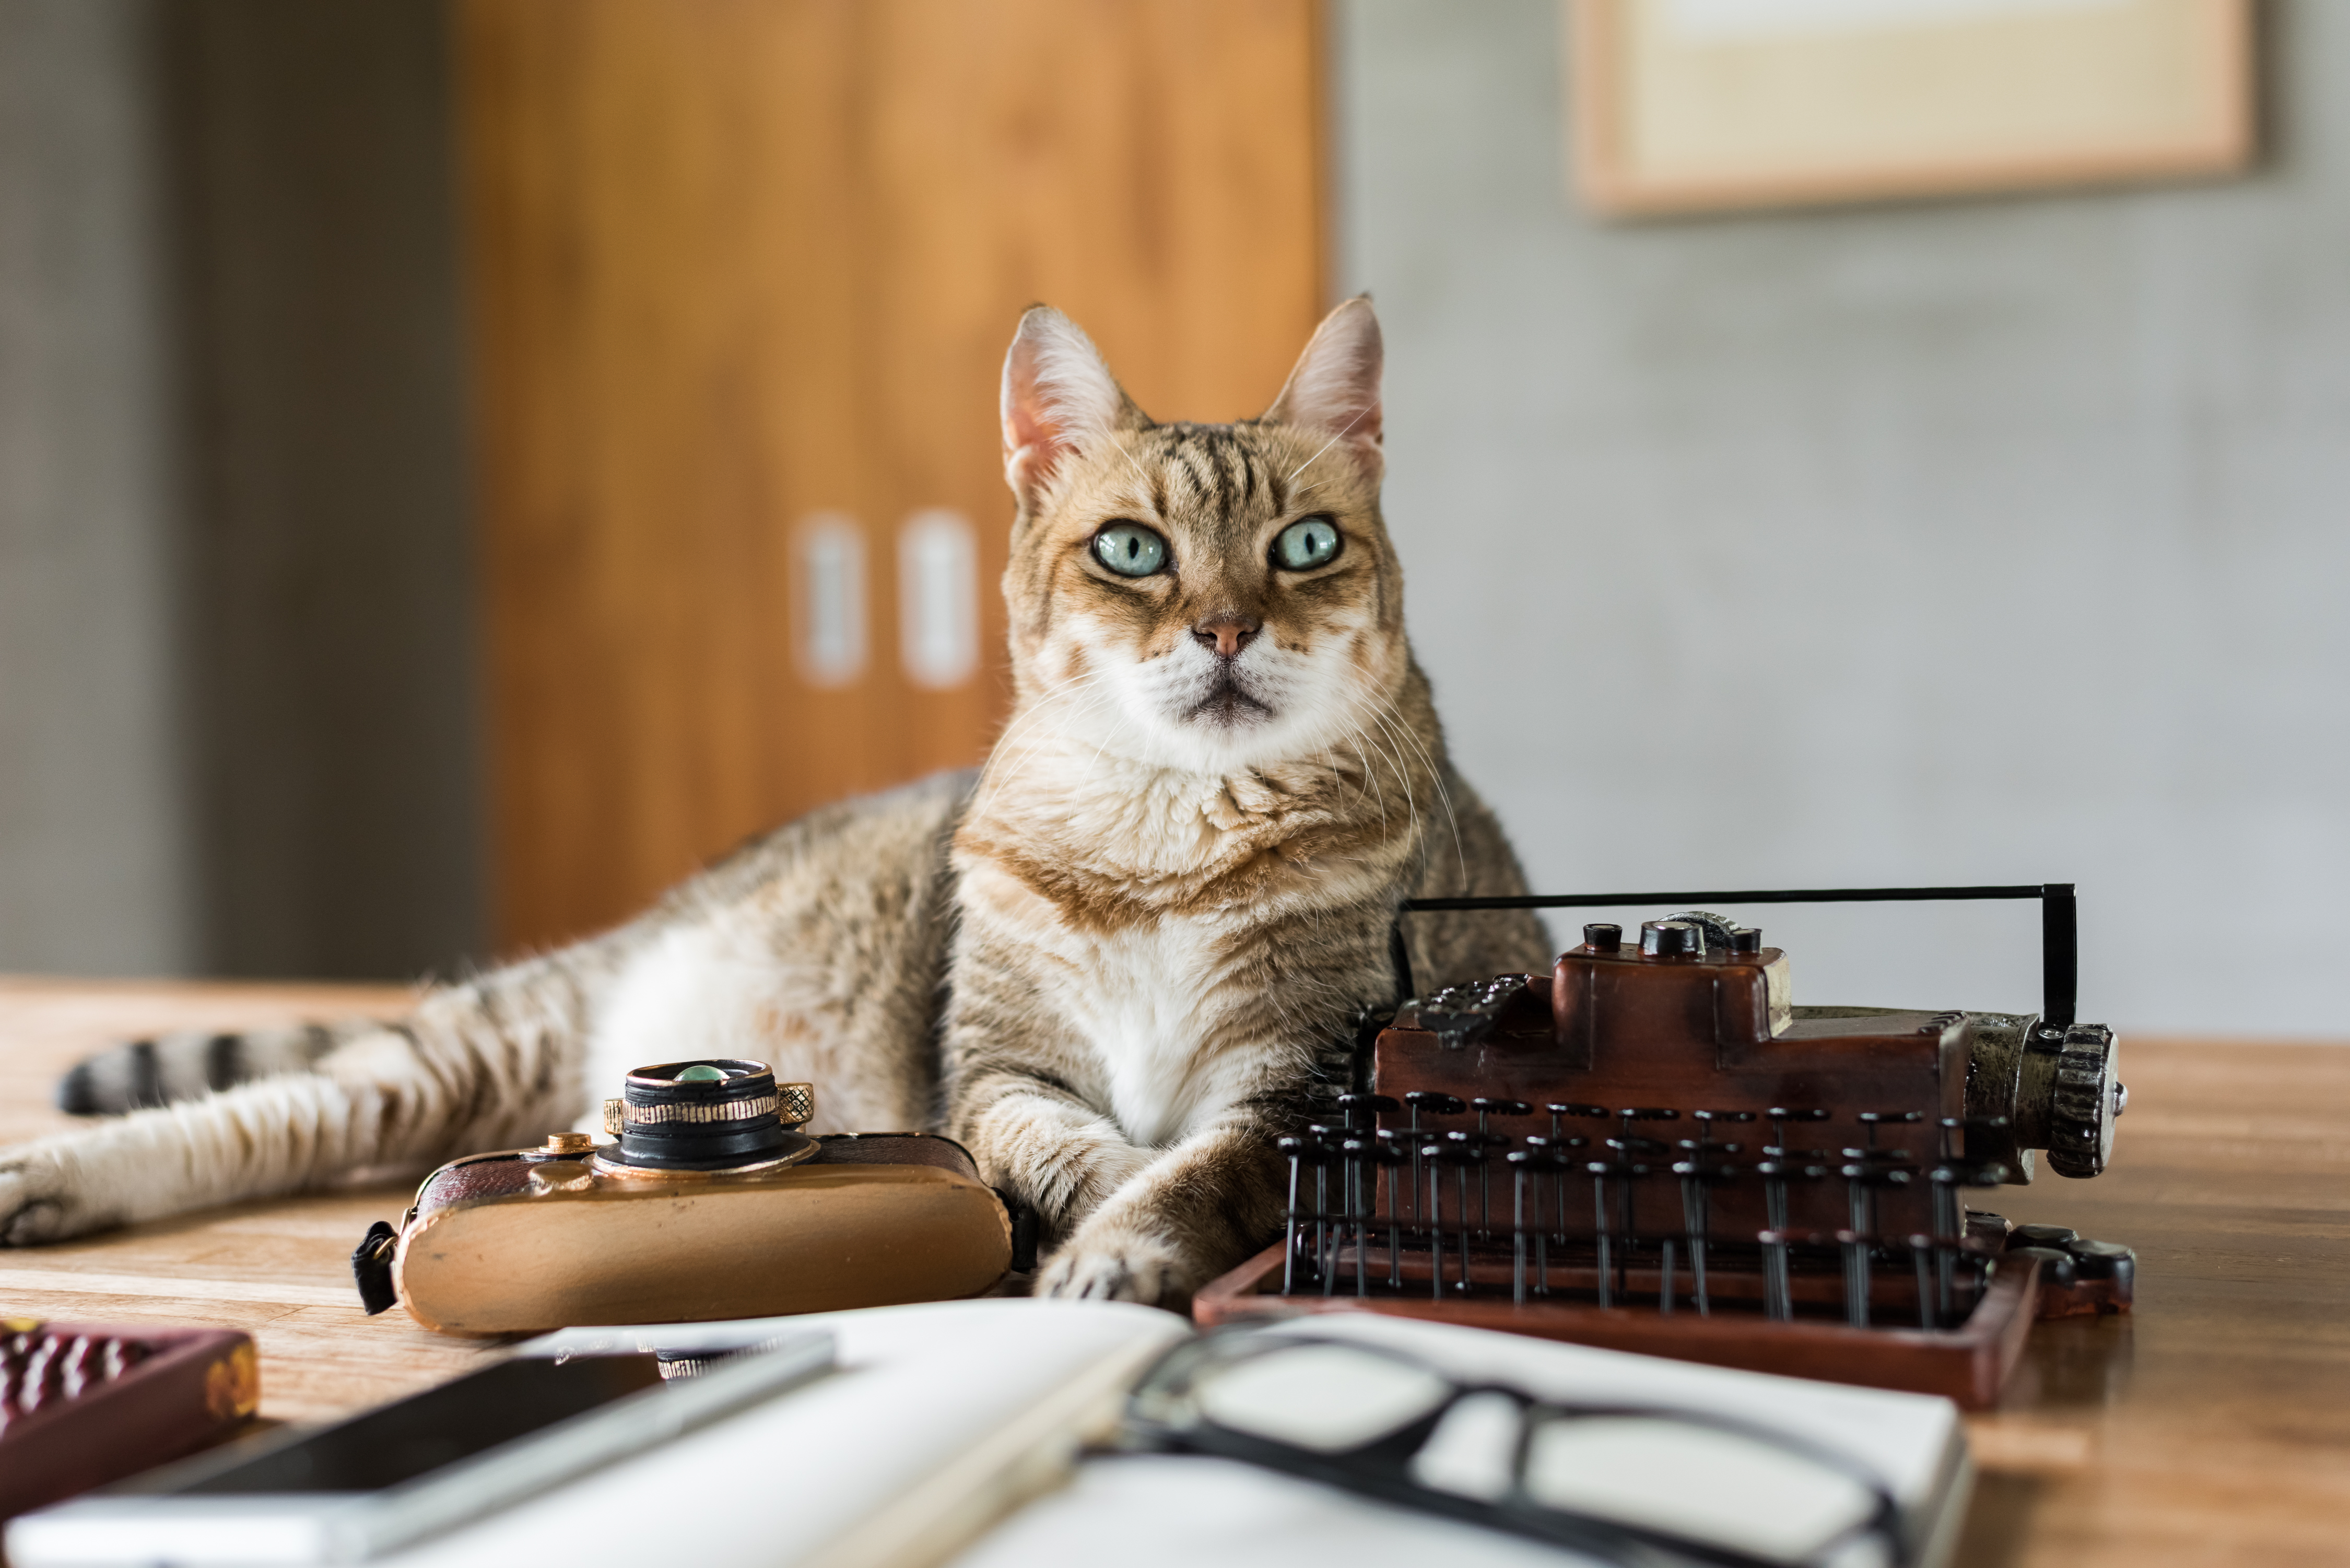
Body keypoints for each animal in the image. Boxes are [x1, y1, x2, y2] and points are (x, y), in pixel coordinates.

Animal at [0, 301, 1551, 1307]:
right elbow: (1074, 1152)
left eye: (1303, 546)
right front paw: (1078, 1222)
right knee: (259, 1115)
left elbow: (1179, 1171)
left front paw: (1115, 1249)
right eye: (1130, 550)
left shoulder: (1292, 1072)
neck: (1162, 836)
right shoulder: (997, 1071)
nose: (1226, 629)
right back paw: (52, 1178)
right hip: (466, 1048)